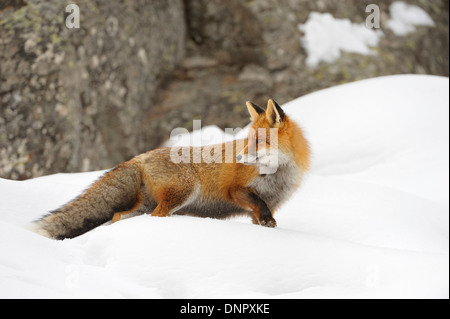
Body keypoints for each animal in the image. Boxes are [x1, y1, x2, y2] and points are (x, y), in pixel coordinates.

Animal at [34, 100, 310, 240]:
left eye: (259, 141)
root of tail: (139, 157)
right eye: (247, 140)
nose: (240, 158)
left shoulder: (261, 208)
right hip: (183, 192)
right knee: (157, 216)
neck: (278, 174)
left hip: (146, 205)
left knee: (118, 216)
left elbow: (263, 217)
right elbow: (258, 204)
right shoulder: (237, 191)